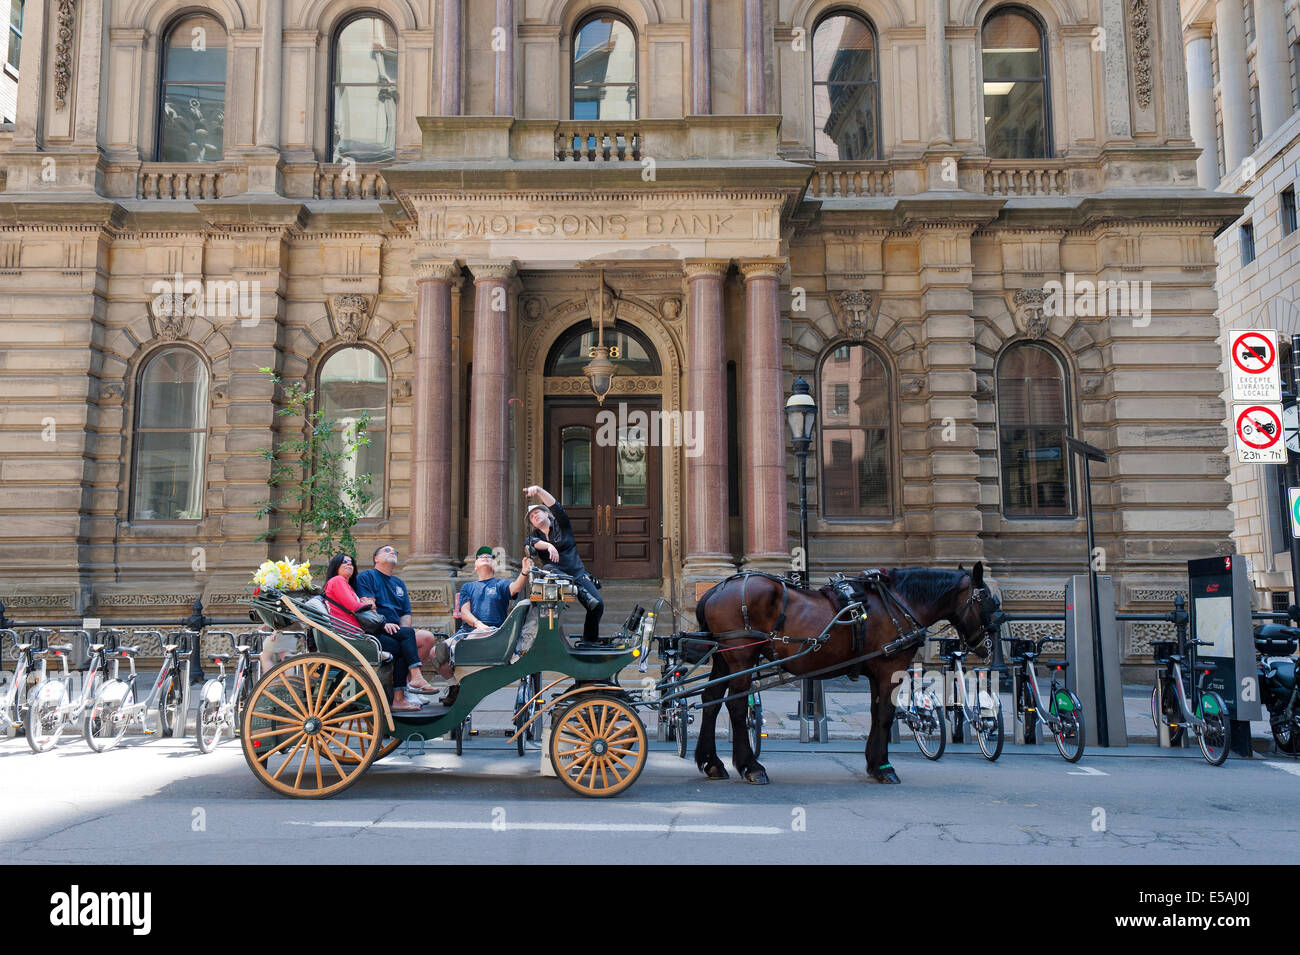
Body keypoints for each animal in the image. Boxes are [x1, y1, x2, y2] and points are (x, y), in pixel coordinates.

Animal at [696, 563, 998, 779]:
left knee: (710, 700)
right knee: (735, 706)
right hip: (741, 656)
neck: (897, 603)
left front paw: (874, 762)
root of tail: (715, 589)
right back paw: (750, 766)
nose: (989, 646)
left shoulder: (877, 671)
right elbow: (886, 715)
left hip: (723, 659)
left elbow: (877, 713)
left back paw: (712, 762)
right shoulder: (890, 668)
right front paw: (884, 767)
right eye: (987, 601)